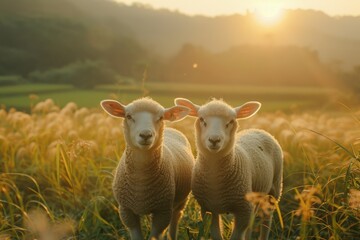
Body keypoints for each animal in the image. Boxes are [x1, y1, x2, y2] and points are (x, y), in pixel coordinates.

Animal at [100, 97, 195, 240]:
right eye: (128, 116)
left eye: (161, 118)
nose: (145, 135)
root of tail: (171, 129)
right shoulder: (126, 211)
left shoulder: (162, 211)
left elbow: (156, 234)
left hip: (182, 200)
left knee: (176, 218)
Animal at [175, 97, 284, 240]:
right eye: (202, 119)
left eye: (231, 121)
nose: (214, 140)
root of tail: (257, 129)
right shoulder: (208, 209)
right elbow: (216, 234)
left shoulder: (242, 209)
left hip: (274, 189)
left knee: (266, 221)